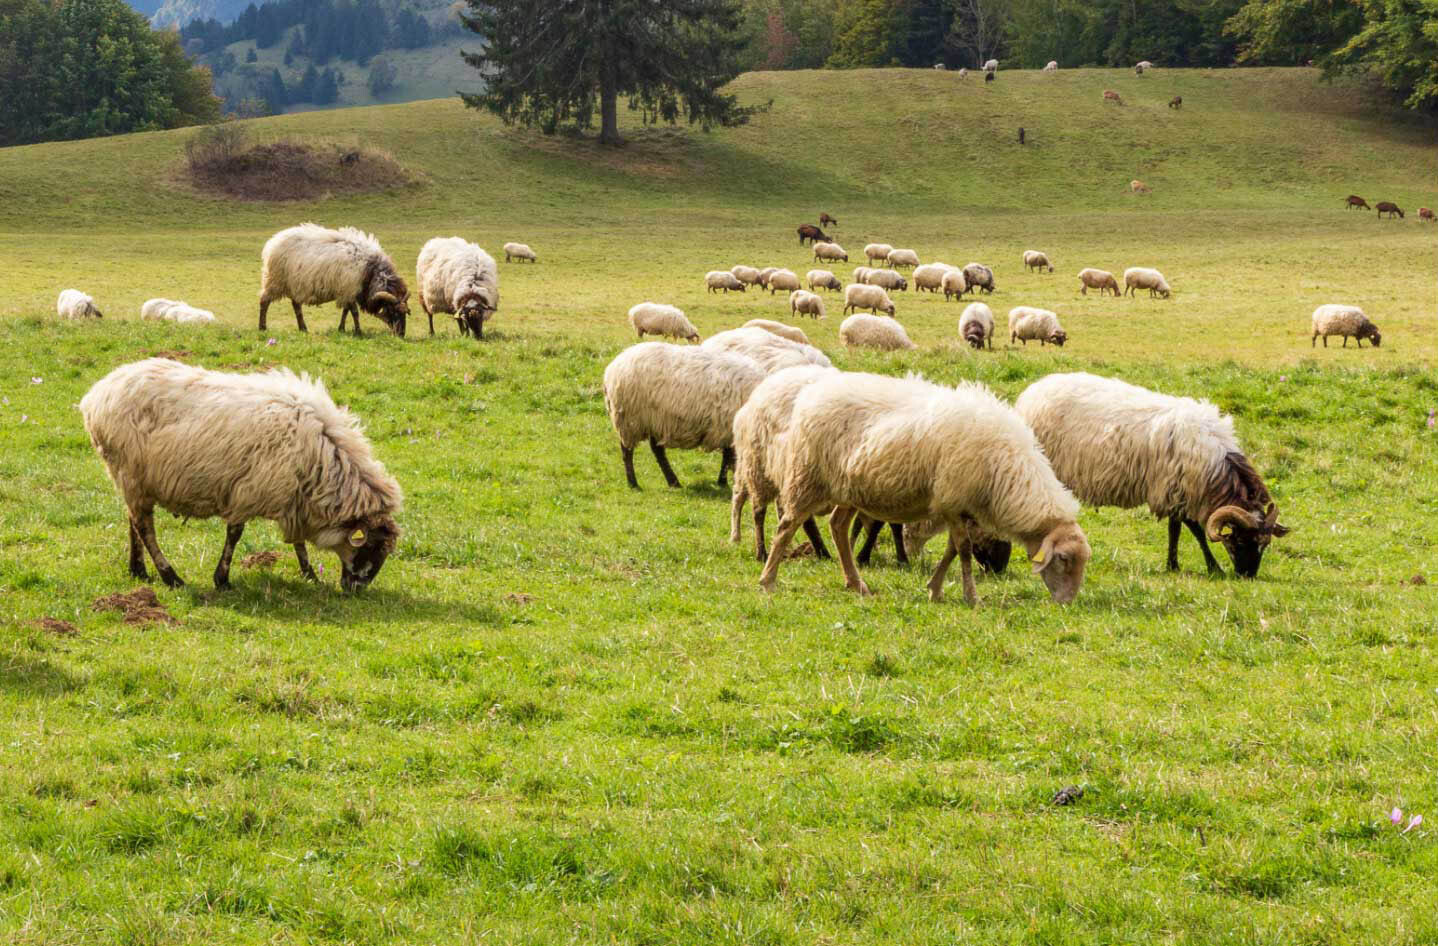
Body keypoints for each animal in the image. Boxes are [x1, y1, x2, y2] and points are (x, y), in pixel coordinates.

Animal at [80, 358, 402, 591]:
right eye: (371, 547)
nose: (356, 589)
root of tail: (96, 395)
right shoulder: (249, 491)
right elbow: (235, 534)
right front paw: (222, 579)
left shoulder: (293, 496)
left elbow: (297, 541)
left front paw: (309, 573)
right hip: (129, 470)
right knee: (144, 527)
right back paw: (170, 576)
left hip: (133, 478)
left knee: (133, 521)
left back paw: (139, 571)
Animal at [258, 223, 409, 336]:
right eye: (393, 311)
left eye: (406, 313)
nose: (401, 334)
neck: (370, 270)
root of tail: (272, 242)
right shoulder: (349, 289)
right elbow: (354, 313)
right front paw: (358, 331)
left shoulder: (346, 292)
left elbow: (346, 311)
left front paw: (341, 329)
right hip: (275, 280)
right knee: (264, 301)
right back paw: (262, 327)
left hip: (295, 284)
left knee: (296, 306)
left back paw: (303, 329)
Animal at [603, 342, 765, 490]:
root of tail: (612, 367)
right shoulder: (728, 430)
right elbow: (728, 457)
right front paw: (723, 482)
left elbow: (728, 457)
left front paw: (723, 481)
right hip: (630, 420)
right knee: (627, 451)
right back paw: (633, 483)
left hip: (655, 421)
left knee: (657, 451)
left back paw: (673, 482)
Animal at [757, 372, 1091, 605]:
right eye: (1063, 559)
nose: (1067, 602)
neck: (1007, 471)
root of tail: (812, 394)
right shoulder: (953, 499)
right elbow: (964, 550)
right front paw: (971, 596)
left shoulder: (957, 505)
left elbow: (952, 550)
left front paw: (935, 589)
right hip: (808, 478)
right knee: (787, 526)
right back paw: (768, 580)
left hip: (849, 489)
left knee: (838, 526)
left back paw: (857, 584)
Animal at [1014, 371, 1289, 577]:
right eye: (1240, 542)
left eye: (1264, 545)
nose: (1247, 576)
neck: (1217, 465)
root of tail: (1031, 392)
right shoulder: (1174, 489)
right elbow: (1193, 530)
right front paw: (1211, 567)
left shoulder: (1177, 490)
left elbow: (1176, 529)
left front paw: (1174, 564)